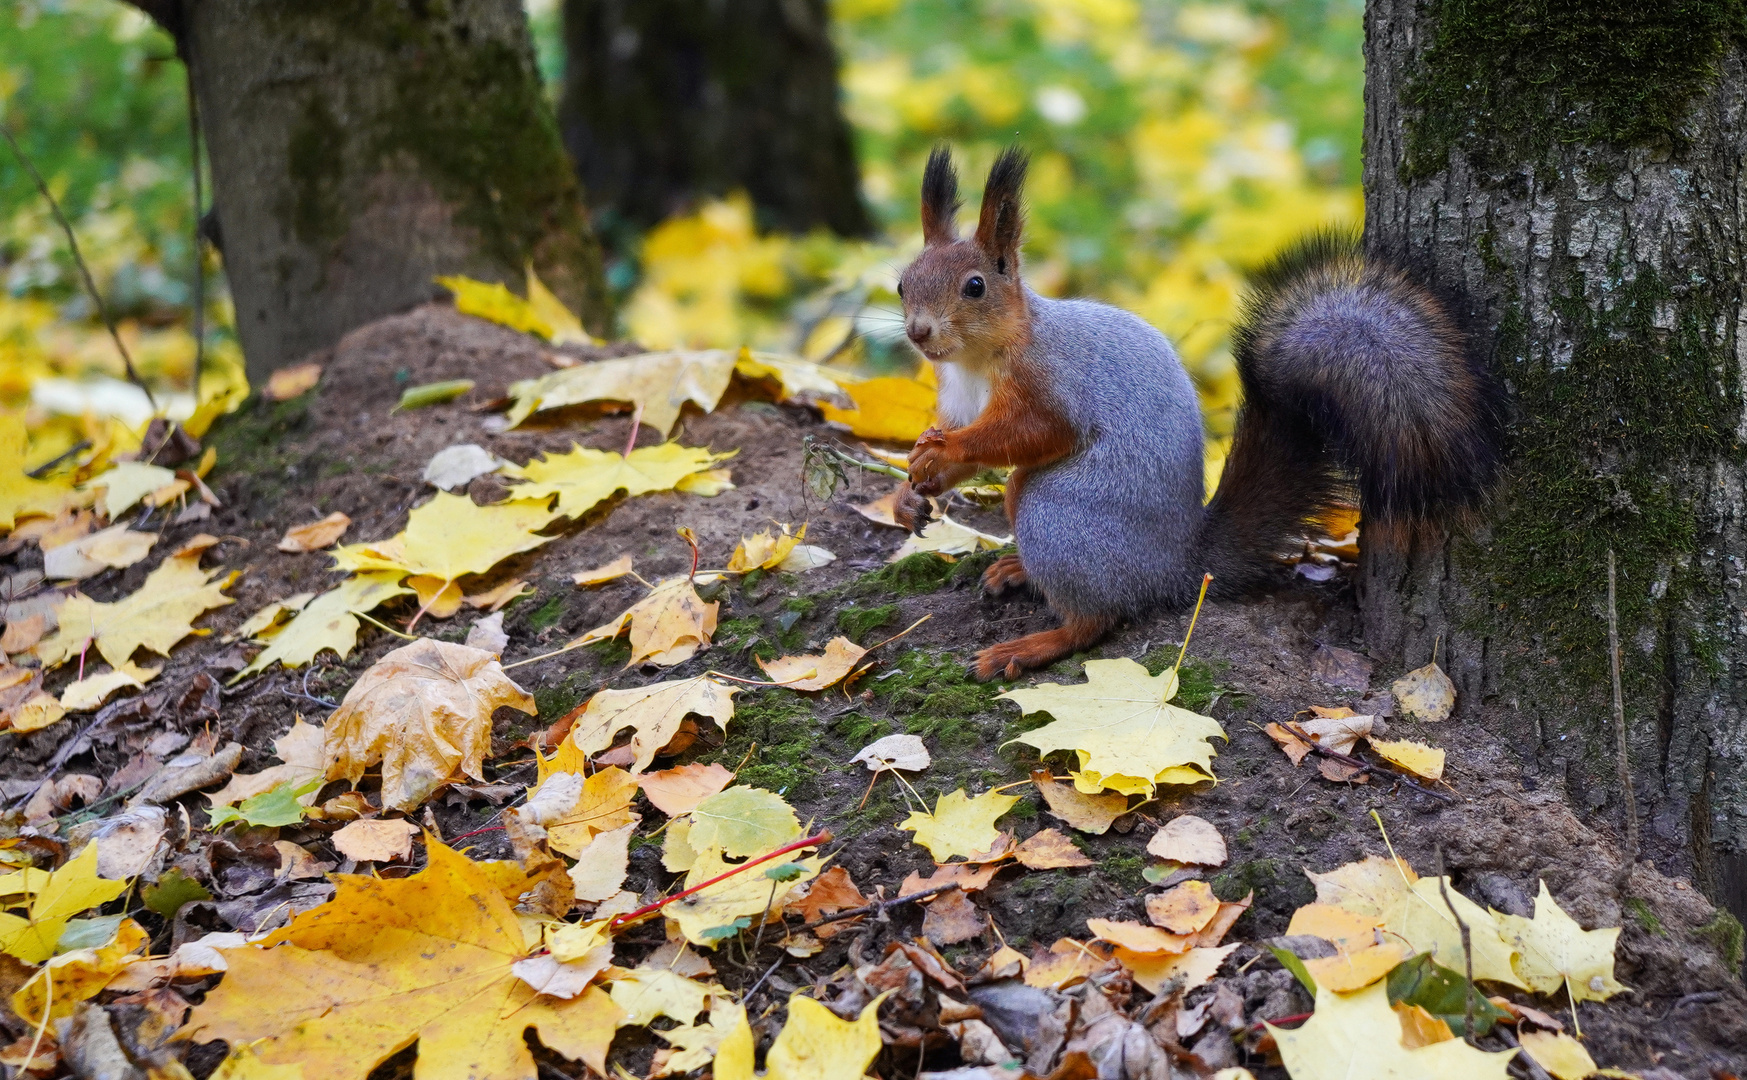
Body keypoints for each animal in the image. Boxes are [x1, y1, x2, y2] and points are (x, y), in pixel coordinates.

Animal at [894, 145, 1509, 678]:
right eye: (901, 283)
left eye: (975, 286)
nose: (919, 333)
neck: (979, 360)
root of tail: (1178, 566)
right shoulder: (957, 394)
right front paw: (912, 490)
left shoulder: (1048, 381)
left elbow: (1034, 433)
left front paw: (943, 450)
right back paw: (1016, 569)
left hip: (1060, 516)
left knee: (1095, 617)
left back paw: (1031, 644)